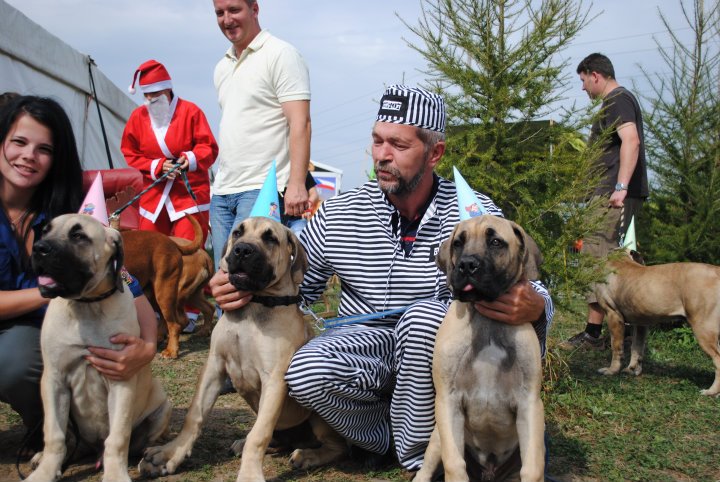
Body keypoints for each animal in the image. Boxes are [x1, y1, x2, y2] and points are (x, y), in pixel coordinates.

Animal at [27, 213, 171, 482]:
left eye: (78, 236)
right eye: (44, 231)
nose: (39, 249)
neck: (86, 306)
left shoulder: (121, 380)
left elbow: (118, 438)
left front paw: (115, 475)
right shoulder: (54, 379)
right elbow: (54, 434)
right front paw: (45, 472)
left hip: (163, 406)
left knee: (140, 441)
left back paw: (151, 457)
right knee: (69, 440)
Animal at [139, 217, 345, 482]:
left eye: (270, 238)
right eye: (238, 232)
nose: (242, 250)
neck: (253, 306)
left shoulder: (274, 380)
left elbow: (259, 435)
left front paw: (249, 474)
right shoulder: (214, 366)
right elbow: (194, 416)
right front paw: (169, 455)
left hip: (319, 414)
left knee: (337, 446)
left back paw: (308, 455)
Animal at [414, 215, 545, 482]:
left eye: (495, 242)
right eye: (458, 243)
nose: (466, 265)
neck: (487, 320)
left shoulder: (529, 403)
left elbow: (533, 467)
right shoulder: (448, 400)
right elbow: (454, 463)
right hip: (437, 436)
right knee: (428, 464)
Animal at [593, 250, 720, 396]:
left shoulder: (613, 315)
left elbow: (616, 347)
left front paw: (611, 370)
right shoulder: (641, 323)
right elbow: (636, 347)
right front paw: (632, 369)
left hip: (703, 329)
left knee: (717, 360)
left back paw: (711, 391)